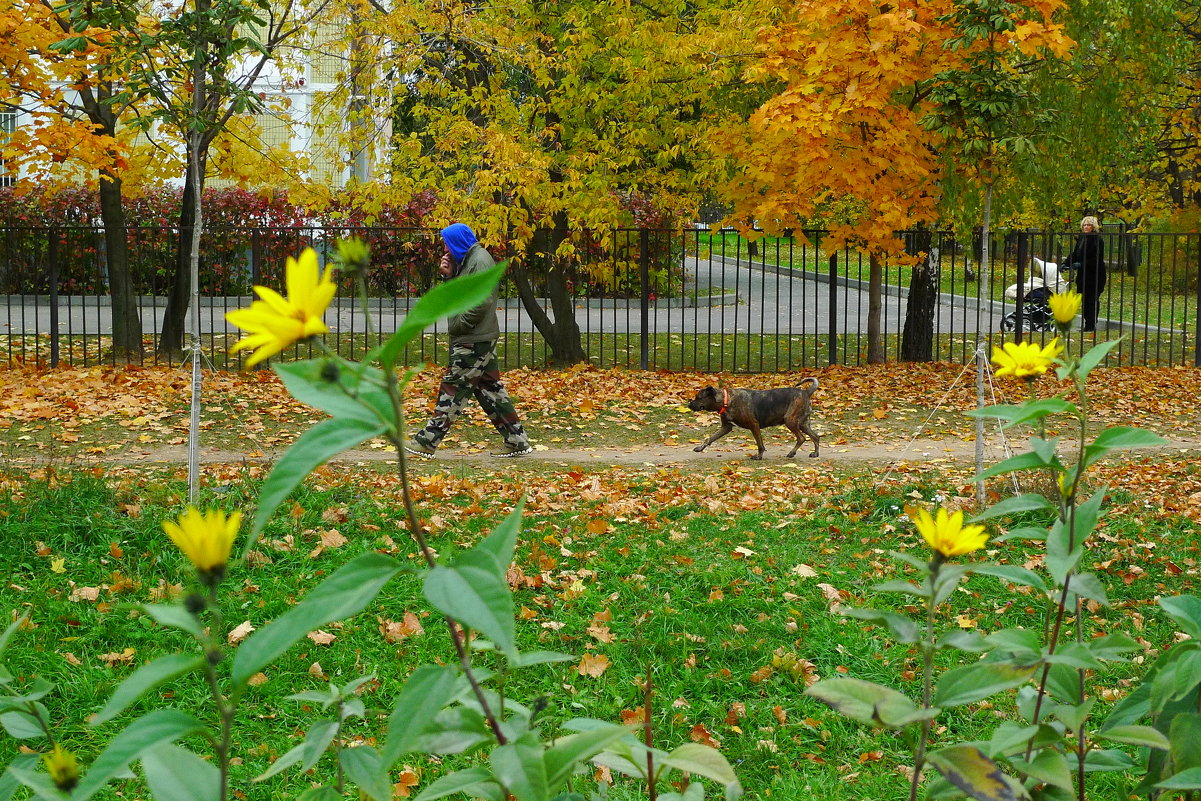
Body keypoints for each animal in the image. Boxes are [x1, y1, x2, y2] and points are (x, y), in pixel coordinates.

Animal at [691, 379, 821, 461]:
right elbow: (710, 438)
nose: (688, 404)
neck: (726, 400)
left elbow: (760, 444)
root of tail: (806, 392)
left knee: (802, 438)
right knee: (815, 437)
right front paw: (700, 447)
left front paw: (758, 457)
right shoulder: (726, 427)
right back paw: (815, 453)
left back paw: (792, 453)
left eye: (698, 397)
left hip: (790, 420)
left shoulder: (754, 425)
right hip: (803, 424)